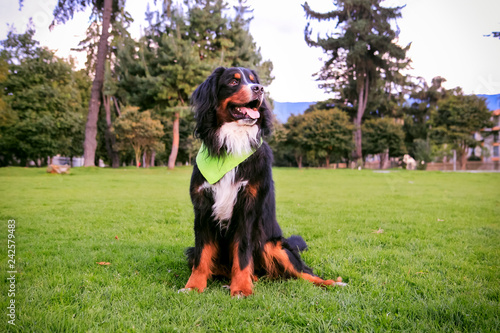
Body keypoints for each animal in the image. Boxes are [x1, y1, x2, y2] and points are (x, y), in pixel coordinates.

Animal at [182, 67, 346, 296]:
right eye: (233, 82)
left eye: (253, 80)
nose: (259, 89)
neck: (233, 143)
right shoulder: (203, 209)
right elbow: (202, 255)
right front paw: (194, 285)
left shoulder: (247, 208)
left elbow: (242, 253)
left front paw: (241, 288)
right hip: (193, 251)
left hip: (272, 245)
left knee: (305, 273)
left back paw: (332, 283)